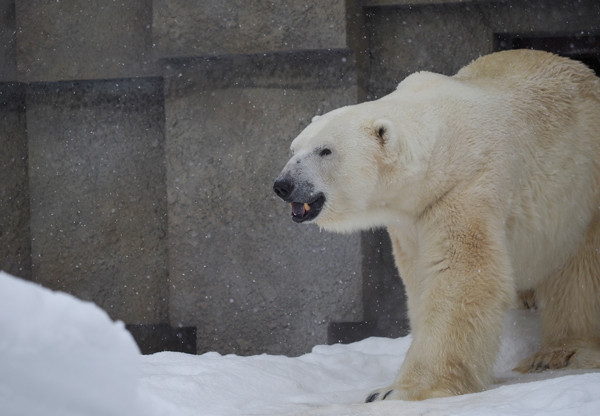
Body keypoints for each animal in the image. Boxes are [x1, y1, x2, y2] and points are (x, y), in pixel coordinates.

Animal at [274, 49, 600, 404]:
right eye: (293, 149)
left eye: (325, 150)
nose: (283, 185)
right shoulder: (410, 218)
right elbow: (420, 278)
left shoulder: (463, 186)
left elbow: (461, 275)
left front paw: (398, 391)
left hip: (582, 197)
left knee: (578, 276)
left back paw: (557, 353)